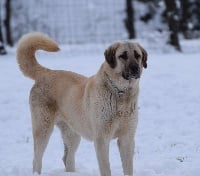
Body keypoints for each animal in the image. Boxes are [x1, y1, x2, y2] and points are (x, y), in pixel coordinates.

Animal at [16, 32, 147, 175]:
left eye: (137, 55)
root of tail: (46, 72)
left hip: (72, 134)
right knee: (36, 160)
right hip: (43, 129)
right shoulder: (101, 139)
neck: (120, 93)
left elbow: (128, 168)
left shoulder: (127, 138)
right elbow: (106, 168)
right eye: (123, 55)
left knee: (67, 158)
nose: (135, 69)